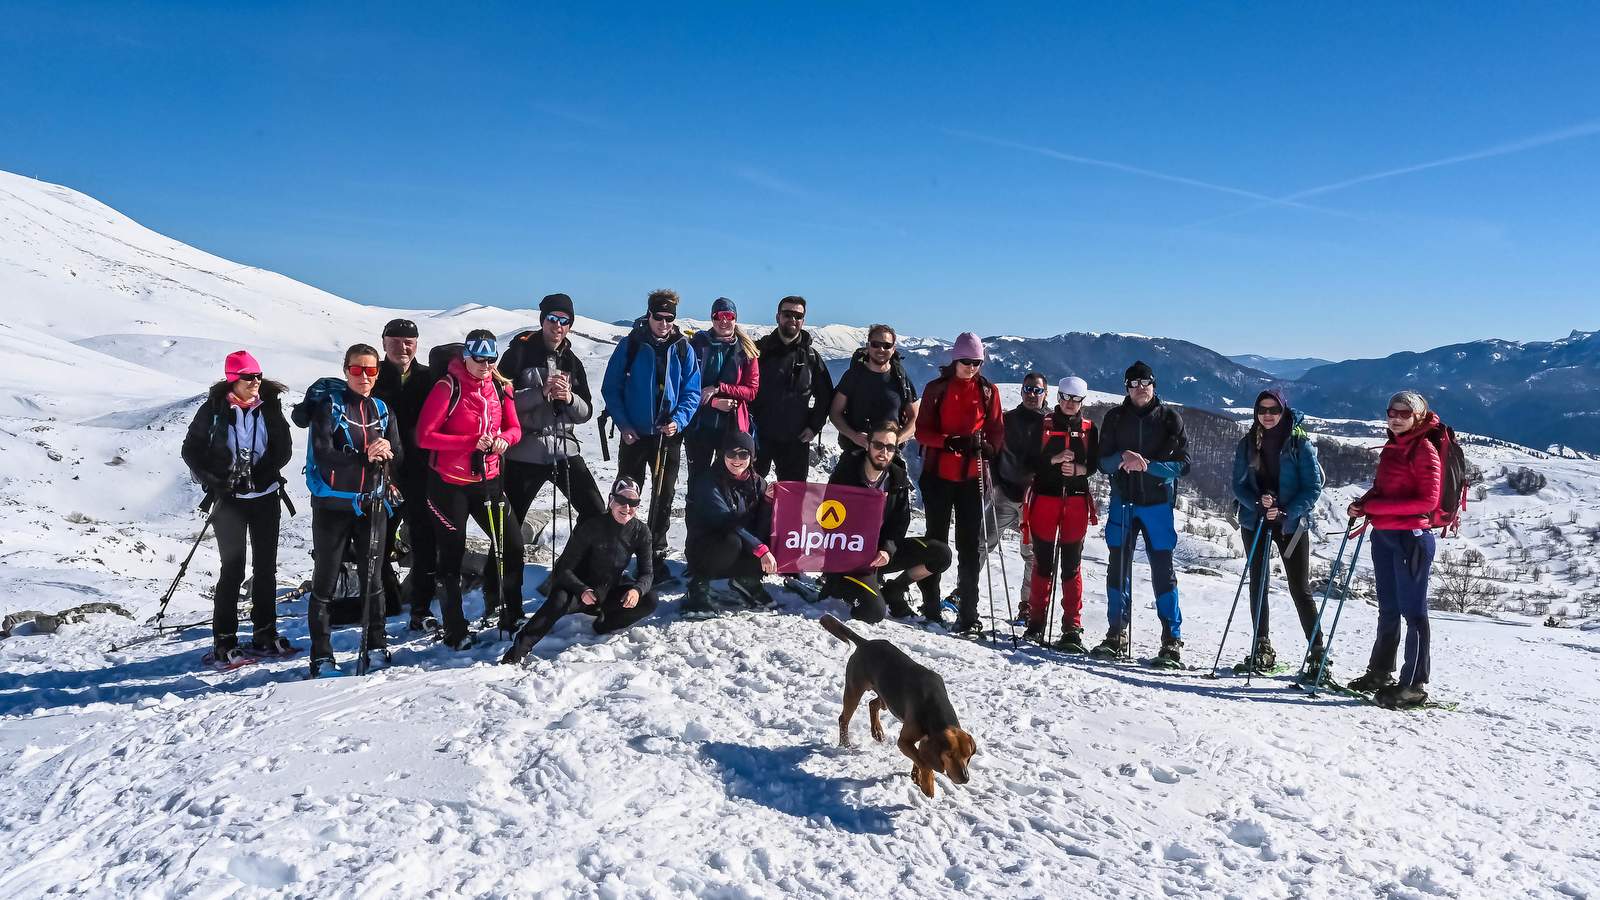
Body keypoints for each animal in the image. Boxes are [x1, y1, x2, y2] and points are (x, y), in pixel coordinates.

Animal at [820, 614, 977, 797]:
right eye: (950, 755)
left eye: (968, 755)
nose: (965, 778)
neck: (936, 709)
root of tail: (865, 643)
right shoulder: (904, 741)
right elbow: (923, 761)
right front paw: (928, 785)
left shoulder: (921, 739)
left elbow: (920, 757)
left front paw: (917, 776)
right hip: (854, 689)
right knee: (843, 718)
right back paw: (845, 744)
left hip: (887, 697)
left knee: (872, 703)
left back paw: (877, 731)